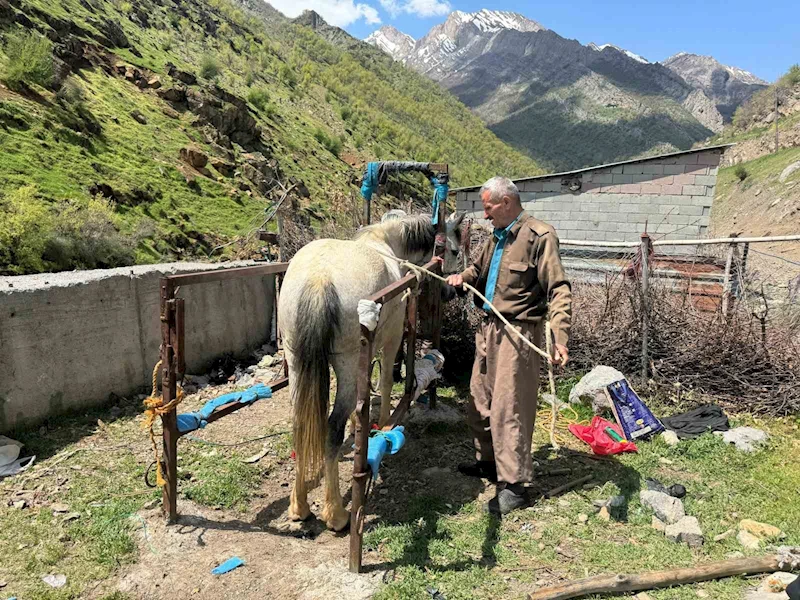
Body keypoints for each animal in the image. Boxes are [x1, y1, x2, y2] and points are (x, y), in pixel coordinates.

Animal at [278, 212, 462, 528]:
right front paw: (385, 424)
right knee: (331, 430)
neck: (385, 243)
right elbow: (386, 381)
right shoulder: (390, 340)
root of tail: (318, 280)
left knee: (300, 424)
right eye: (452, 250)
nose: (450, 291)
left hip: (298, 364)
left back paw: (299, 505)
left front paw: (359, 426)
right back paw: (336, 514)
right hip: (346, 364)